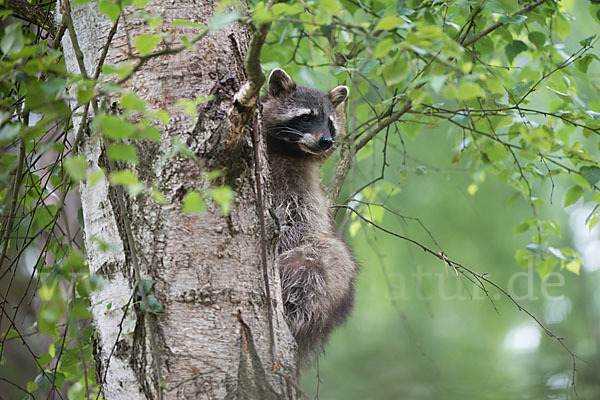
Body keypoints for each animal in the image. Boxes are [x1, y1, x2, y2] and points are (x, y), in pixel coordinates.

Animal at [262, 68, 356, 366]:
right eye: (306, 117)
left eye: (330, 123)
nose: (326, 141)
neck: (289, 150)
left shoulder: (301, 199)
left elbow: (298, 220)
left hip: (327, 280)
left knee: (317, 261)